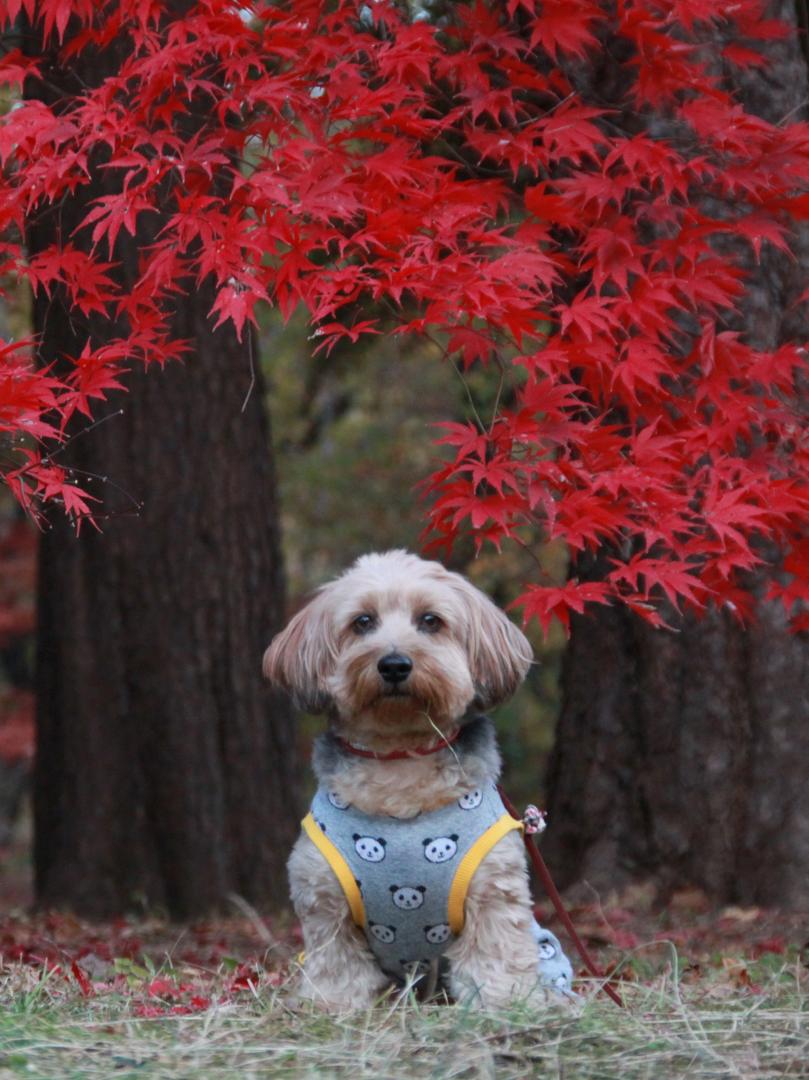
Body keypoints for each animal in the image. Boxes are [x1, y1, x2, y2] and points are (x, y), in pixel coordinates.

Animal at [262, 552, 565, 1006]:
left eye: (430, 621)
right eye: (363, 622)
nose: (394, 663)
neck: (400, 759)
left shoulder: (493, 890)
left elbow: (495, 957)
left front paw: (504, 1005)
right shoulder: (323, 895)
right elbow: (337, 965)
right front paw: (332, 1007)